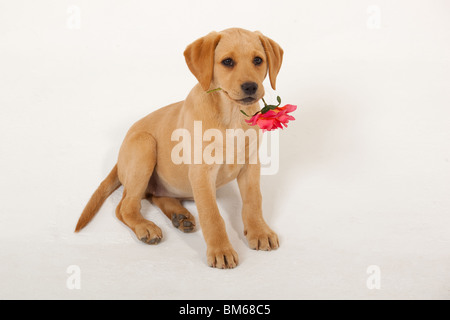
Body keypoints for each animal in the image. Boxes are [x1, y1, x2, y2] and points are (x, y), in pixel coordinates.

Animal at [75, 27, 284, 268]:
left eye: (258, 60)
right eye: (228, 62)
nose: (250, 86)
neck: (231, 114)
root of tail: (119, 156)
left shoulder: (250, 164)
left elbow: (253, 200)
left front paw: (259, 231)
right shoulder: (202, 172)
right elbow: (212, 214)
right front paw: (221, 249)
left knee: (153, 195)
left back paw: (179, 216)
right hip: (144, 146)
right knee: (125, 206)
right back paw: (146, 227)